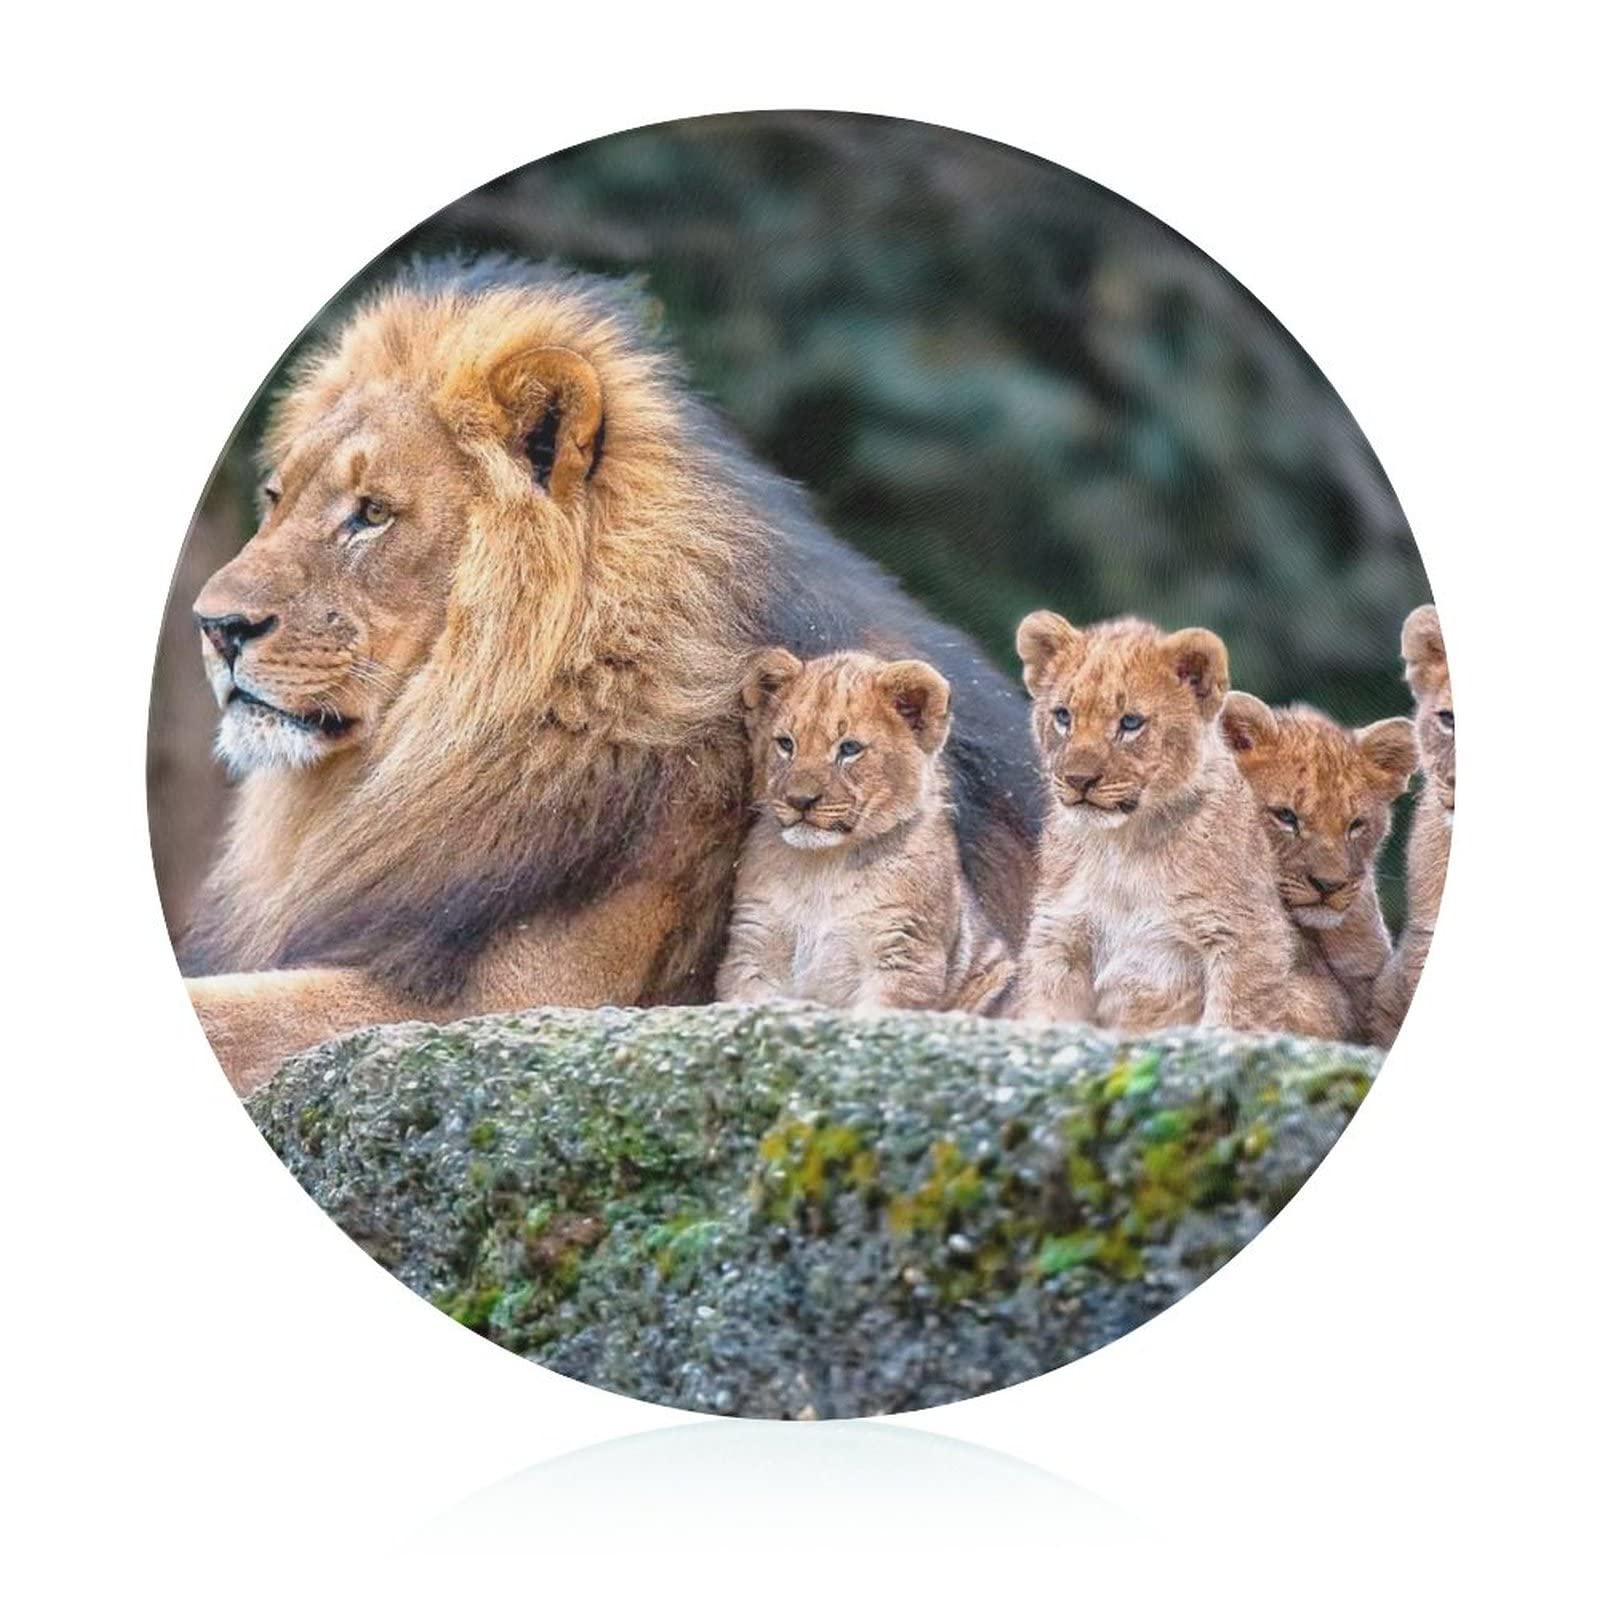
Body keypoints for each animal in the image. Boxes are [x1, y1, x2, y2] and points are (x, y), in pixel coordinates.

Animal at [716, 649, 1014, 1014]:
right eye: (786, 744)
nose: (800, 801)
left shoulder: (903, 956)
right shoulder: (754, 948)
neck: (822, 868)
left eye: (849, 749)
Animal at [1011, 611, 1297, 1031]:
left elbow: (1232, 1020)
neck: (1123, 848)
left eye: (1130, 723)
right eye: (1063, 716)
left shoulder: (1246, 938)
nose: (1079, 780)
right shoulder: (1059, 936)